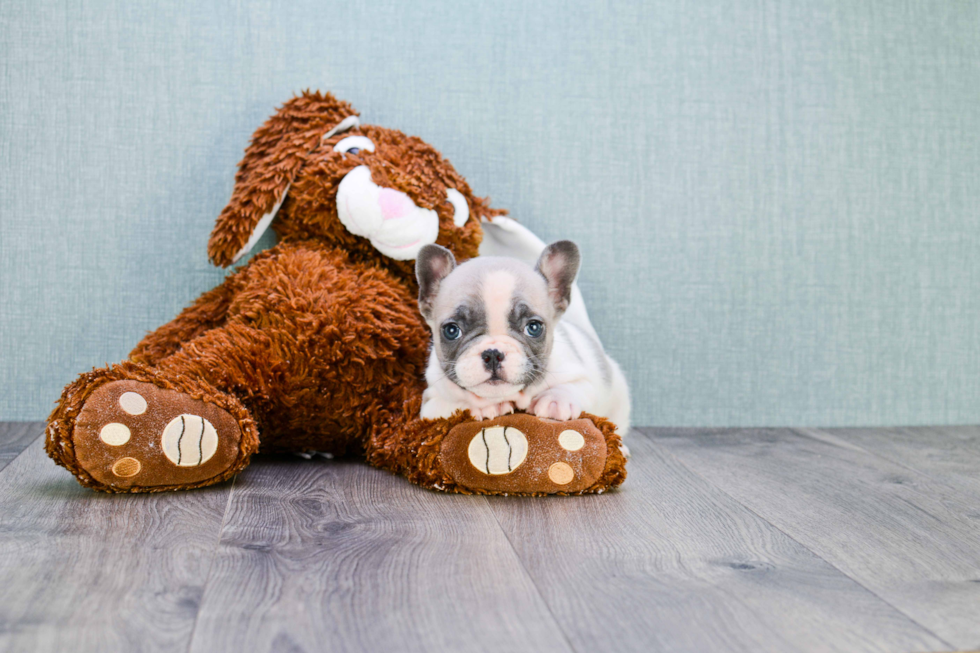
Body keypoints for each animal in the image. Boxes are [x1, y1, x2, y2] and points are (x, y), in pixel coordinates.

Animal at [418, 239, 632, 432]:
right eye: (451, 330)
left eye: (534, 328)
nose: (493, 353)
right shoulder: (430, 402)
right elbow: (447, 405)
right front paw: (481, 406)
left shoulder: (583, 377)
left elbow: (575, 387)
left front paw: (554, 400)